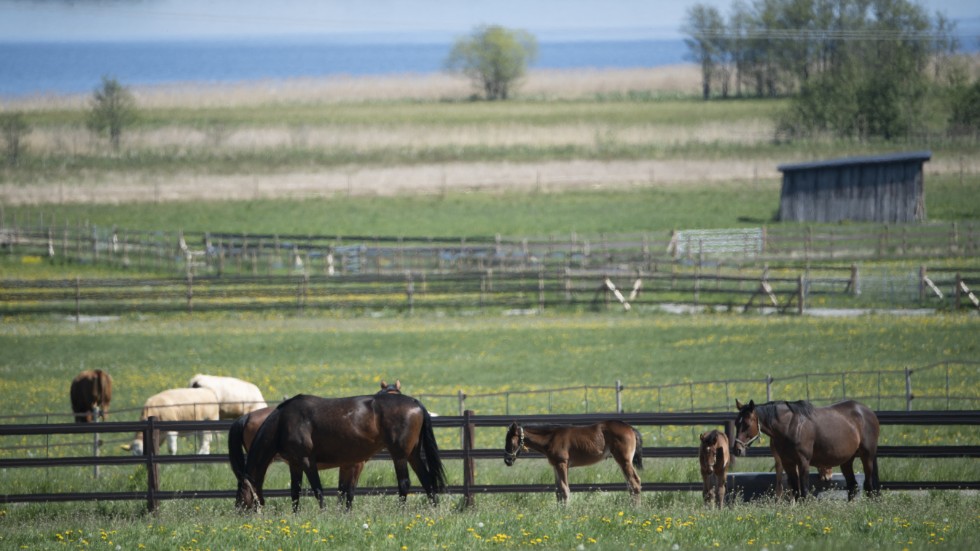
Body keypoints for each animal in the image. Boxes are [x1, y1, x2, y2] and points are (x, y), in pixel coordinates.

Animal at [237, 388, 444, 512]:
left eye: (241, 496)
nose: (238, 511)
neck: (283, 422)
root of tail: (415, 403)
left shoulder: (307, 461)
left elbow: (318, 490)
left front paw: (324, 513)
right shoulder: (295, 465)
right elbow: (295, 492)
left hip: (399, 455)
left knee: (404, 483)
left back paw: (400, 511)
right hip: (413, 455)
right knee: (427, 480)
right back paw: (434, 510)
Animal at [506, 422, 644, 504]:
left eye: (510, 441)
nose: (507, 460)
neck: (550, 438)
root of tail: (630, 428)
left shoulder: (562, 464)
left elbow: (564, 489)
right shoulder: (556, 466)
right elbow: (558, 490)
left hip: (624, 460)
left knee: (635, 482)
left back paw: (635, 510)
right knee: (630, 484)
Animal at [732, 398, 884, 502]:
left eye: (747, 424)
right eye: (736, 423)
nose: (737, 449)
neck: (790, 426)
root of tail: (867, 411)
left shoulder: (803, 462)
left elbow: (803, 490)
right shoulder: (788, 463)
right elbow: (795, 490)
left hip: (867, 456)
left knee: (868, 485)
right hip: (847, 460)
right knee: (853, 486)